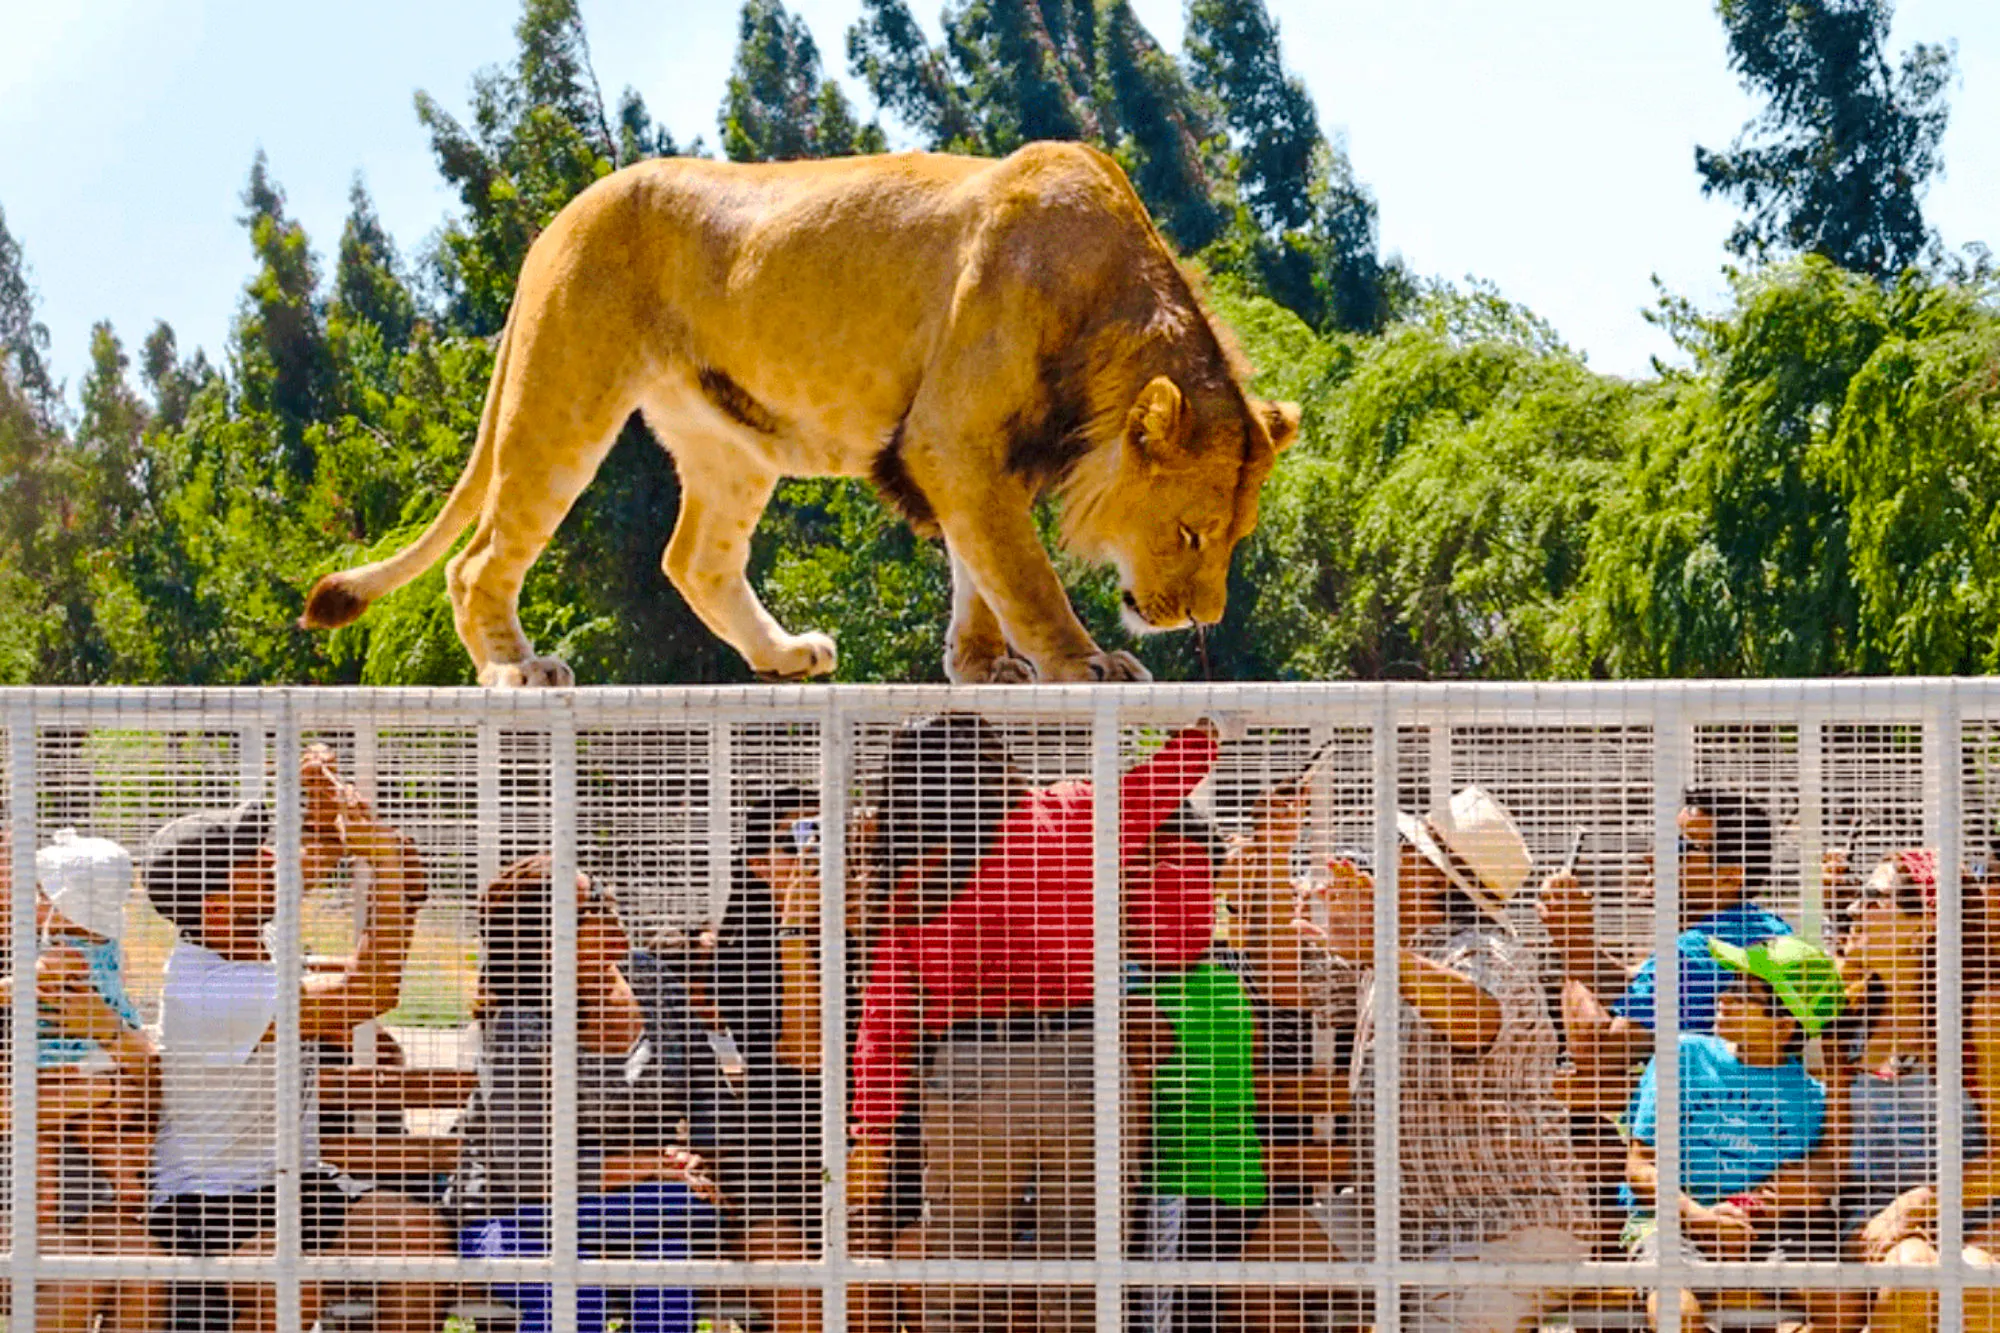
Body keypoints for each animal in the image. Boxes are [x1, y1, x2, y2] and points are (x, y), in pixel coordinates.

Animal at [301, 141, 1297, 685]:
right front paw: (1080, 661)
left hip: (730, 443)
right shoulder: (954, 439)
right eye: (1193, 532)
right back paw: (517, 666)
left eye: (1237, 535)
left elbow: (979, 571)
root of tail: (555, 223)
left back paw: (783, 654)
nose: (1196, 621)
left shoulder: (971, 459)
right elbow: (1023, 572)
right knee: (478, 562)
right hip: (562, 395)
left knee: (695, 559)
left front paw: (982, 664)